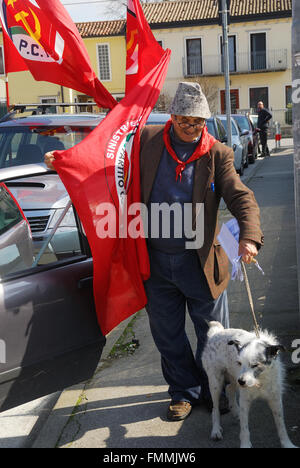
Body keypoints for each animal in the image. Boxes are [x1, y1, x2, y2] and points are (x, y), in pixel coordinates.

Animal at [202, 320, 298, 448]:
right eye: (239, 363)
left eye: (255, 365)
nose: (242, 381)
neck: (260, 380)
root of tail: (216, 332)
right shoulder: (245, 400)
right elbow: (244, 429)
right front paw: (245, 444)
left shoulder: (276, 400)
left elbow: (281, 426)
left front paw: (287, 444)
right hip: (216, 382)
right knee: (215, 408)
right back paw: (216, 430)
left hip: (233, 377)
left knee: (229, 388)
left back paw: (236, 412)